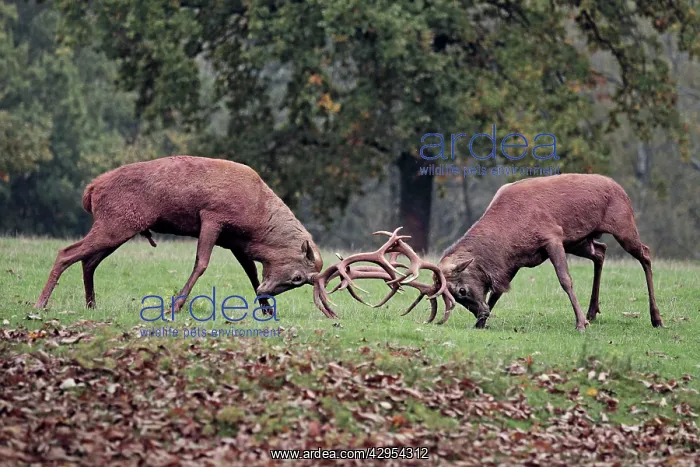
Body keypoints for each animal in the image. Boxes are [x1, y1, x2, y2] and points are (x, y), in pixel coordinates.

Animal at [35, 156, 323, 313]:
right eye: (298, 278)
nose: (267, 292)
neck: (255, 222)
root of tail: (91, 190)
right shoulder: (213, 217)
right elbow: (202, 263)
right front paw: (174, 305)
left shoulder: (234, 241)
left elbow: (251, 271)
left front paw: (265, 309)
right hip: (114, 224)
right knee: (66, 253)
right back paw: (40, 303)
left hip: (117, 227)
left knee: (88, 261)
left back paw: (91, 305)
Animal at [314, 174, 662, 332]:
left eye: (461, 291)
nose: (478, 314)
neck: (511, 233)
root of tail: (621, 189)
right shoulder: (517, 261)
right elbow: (499, 289)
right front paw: (484, 321)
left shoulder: (552, 237)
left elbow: (565, 281)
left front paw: (578, 324)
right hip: (582, 240)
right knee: (600, 252)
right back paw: (593, 312)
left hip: (622, 224)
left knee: (645, 253)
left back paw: (655, 318)